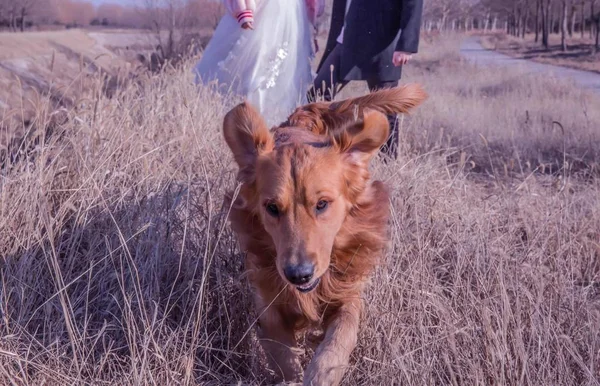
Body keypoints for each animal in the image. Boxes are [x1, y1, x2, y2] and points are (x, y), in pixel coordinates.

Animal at [223, 85, 424, 386]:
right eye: (272, 208)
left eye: (322, 204)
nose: (299, 274)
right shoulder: (267, 297)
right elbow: (281, 351)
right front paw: (291, 377)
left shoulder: (348, 292)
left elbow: (340, 338)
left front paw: (320, 374)